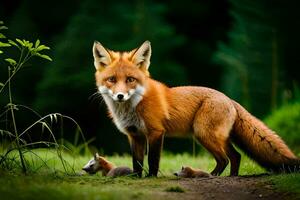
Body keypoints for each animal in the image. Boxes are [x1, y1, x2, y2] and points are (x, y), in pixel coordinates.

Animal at [92, 40, 298, 177]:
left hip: (203, 134)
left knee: (225, 158)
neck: (134, 107)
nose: (120, 96)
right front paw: (136, 177)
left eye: (130, 80)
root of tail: (229, 99)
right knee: (236, 156)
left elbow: (152, 160)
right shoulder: (134, 135)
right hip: (218, 137)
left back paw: (212, 176)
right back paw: (232, 176)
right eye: (111, 80)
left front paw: (151, 177)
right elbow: (136, 161)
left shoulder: (156, 132)